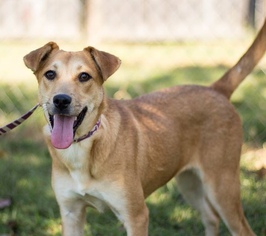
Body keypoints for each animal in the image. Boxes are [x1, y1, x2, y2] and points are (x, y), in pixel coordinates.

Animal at [23, 19, 264, 235]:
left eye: (84, 76)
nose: (61, 100)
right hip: (190, 183)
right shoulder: (71, 213)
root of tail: (215, 89)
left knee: (242, 229)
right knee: (211, 217)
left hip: (222, 188)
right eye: (50, 74)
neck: (83, 146)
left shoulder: (136, 216)